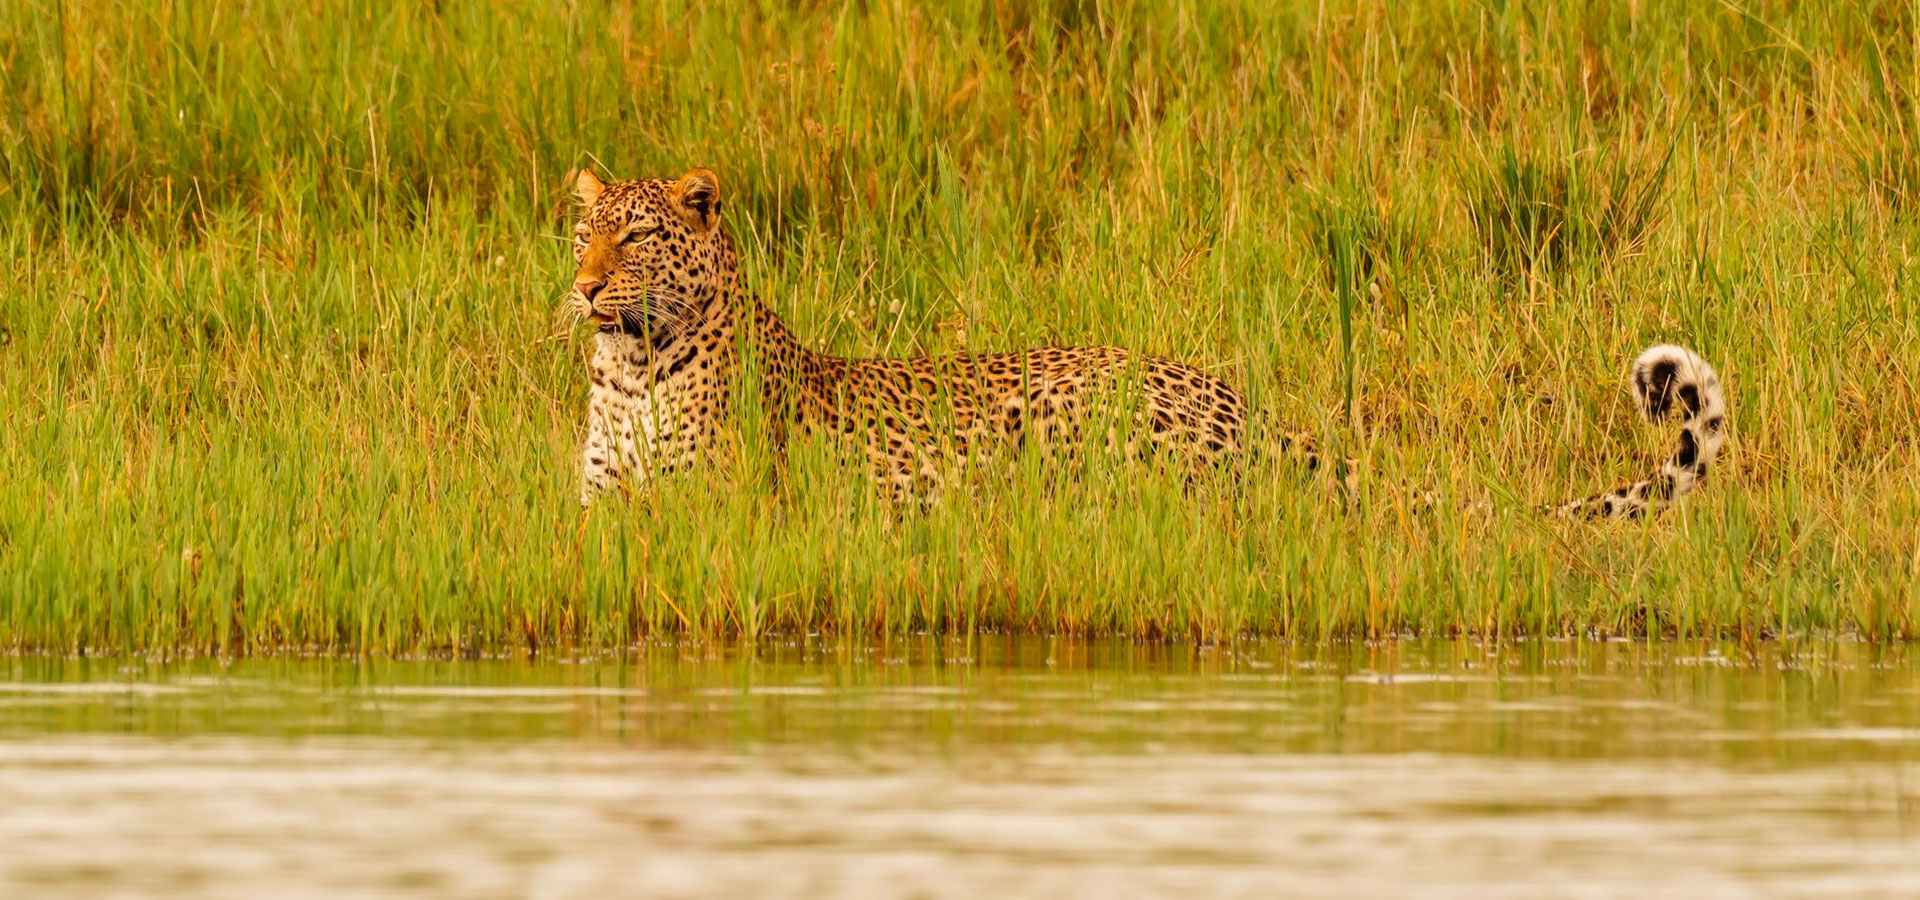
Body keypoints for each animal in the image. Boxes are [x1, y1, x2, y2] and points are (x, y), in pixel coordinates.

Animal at [567, 167, 1726, 520]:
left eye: (638, 236)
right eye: (580, 229)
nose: (583, 288)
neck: (628, 369)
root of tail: (1246, 407)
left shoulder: (703, 503)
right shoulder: (595, 504)